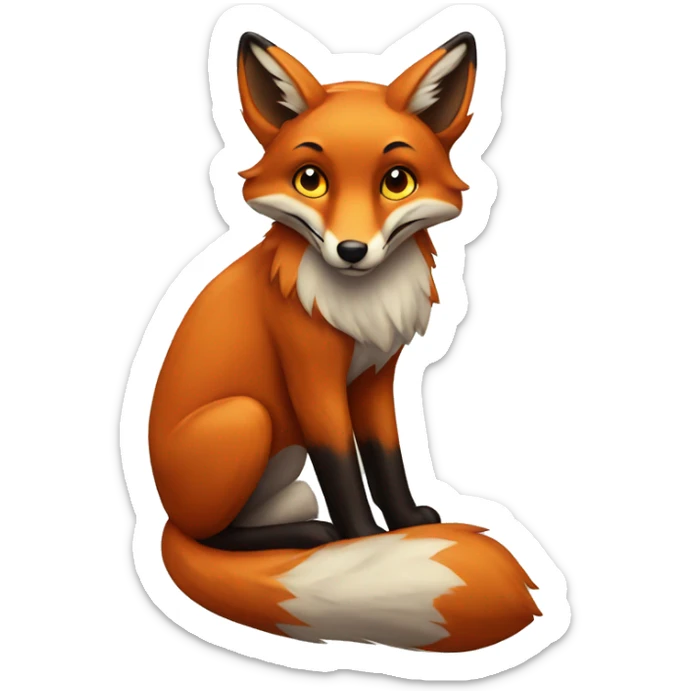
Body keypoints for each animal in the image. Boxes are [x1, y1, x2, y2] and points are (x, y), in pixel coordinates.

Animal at [149, 30, 541, 652]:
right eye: (310, 179)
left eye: (396, 181)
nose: (352, 251)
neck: (358, 307)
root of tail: (164, 509)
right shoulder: (312, 374)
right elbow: (341, 466)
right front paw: (363, 538)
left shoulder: (377, 374)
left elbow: (386, 455)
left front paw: (404, 523)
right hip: (245, 418)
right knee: (210, 537)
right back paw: (313, 536)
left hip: (282, 474)